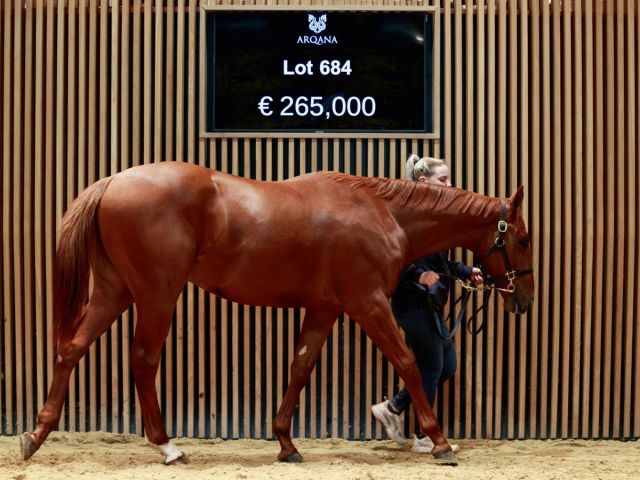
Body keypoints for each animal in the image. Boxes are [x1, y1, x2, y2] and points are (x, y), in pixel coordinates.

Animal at [20, 161, 532, 464]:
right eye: (524, 239)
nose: (523, 299)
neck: (382, 212)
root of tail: (113, 181)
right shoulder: (368, 303)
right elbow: (407, 362)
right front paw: (440, 442)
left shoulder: (324, 309)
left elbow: (299, 368)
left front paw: (286, 443)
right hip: (155, 294)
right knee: (143, 362)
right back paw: (167, 446)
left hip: (115, 291)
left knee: (71, 348)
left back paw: (35, 435)